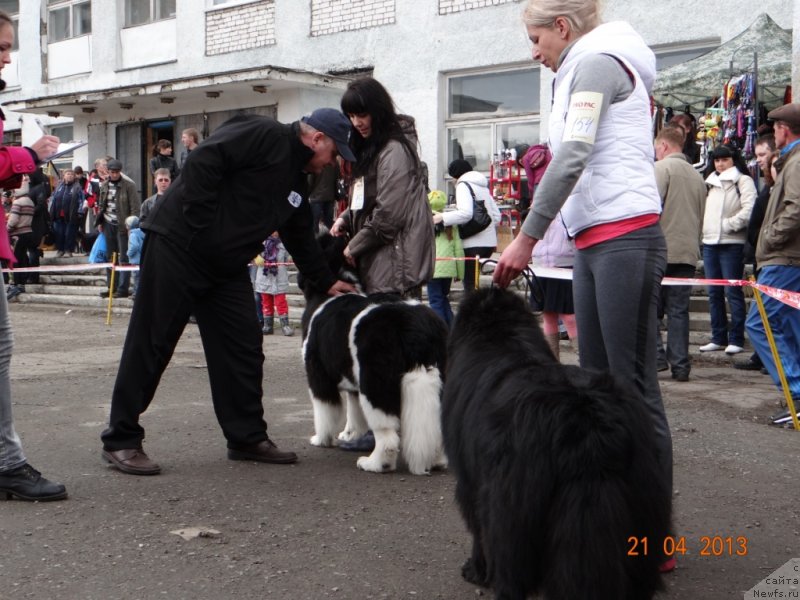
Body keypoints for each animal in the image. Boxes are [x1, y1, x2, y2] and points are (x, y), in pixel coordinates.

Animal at [300, 233, 450, 474]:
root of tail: (415, 326)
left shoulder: (318, 375)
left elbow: (324, 411)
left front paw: (321, 439)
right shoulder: (352, 380)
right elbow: (353, 413)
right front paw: (350, 435)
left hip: (376, 384)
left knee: (387, 434)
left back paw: (374, 463)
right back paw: (437, 461)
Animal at [446, 286, 672, 600]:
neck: (502, 340)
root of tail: (588, 424)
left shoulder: (470, 482)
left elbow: (477, 532)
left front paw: (475, 570)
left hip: (509, 509)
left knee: (508, 562)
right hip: (644, 501)